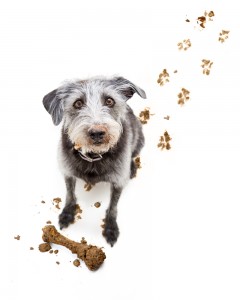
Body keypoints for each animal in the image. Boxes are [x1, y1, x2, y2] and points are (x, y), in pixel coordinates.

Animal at [42, 75, 145, 246]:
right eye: (78, 103)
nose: (97, 132)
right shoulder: (68, 173)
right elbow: (70, 195)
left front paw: (111, 228)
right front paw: (67, 214)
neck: (93, 157)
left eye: (110, 101)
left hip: (140, 140)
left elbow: (113, 207)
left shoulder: (118, 182)